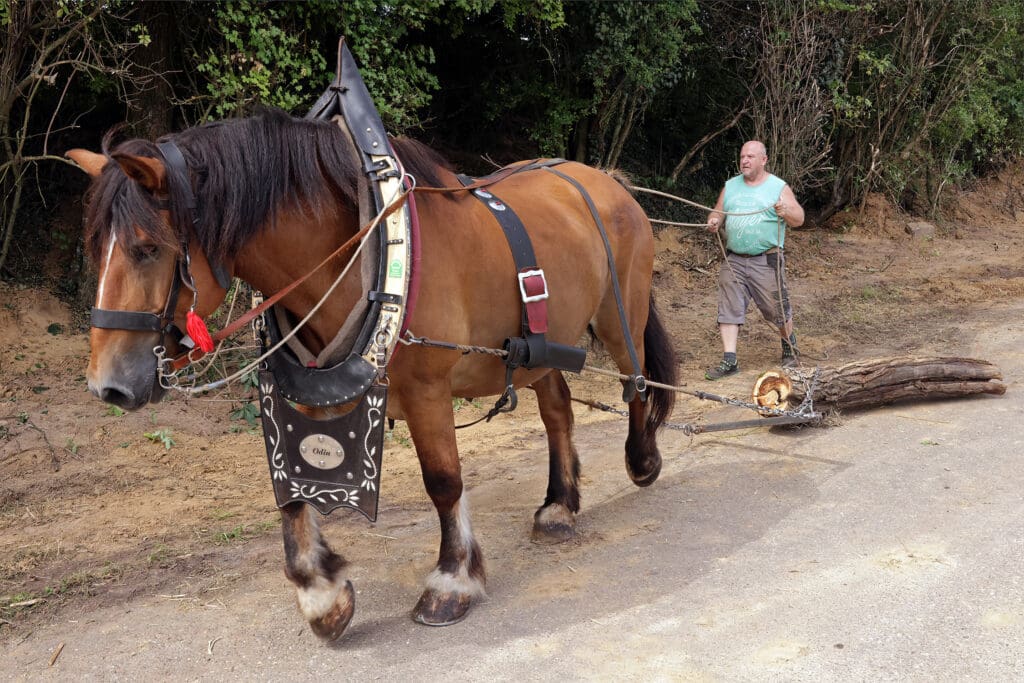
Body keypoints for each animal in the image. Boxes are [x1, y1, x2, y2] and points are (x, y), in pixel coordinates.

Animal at [70, 107, 679, 643]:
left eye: (147, 248)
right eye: (96, 250)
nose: (107, 386)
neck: (362, 253)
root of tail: (605, 181)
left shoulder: (427, 389)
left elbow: (444, 482)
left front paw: (452, 579)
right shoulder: (305, 385)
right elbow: (290, 489)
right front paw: (320, 593)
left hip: (620, 314)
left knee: (638, 383)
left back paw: (642, 458)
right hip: (541, 346)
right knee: (558, 409)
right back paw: (558, 506)